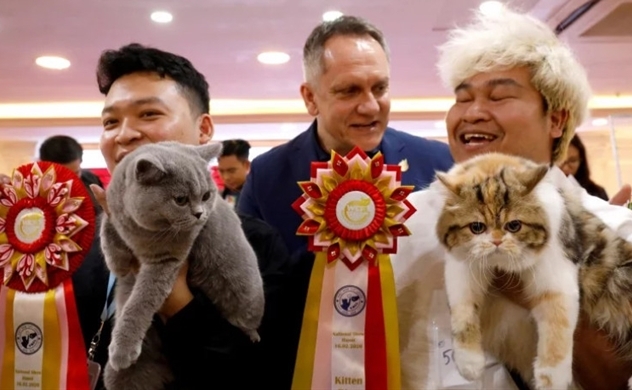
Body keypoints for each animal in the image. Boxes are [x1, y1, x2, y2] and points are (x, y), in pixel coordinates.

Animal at [101, 141, 264, 390]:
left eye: (206, 195)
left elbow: (140, 302)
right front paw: (116, 262)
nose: (199, 214)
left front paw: (123, 350)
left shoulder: (167, 260)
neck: (140, 230)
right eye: (180, 200)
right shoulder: (113, 209)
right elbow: (106, 224)